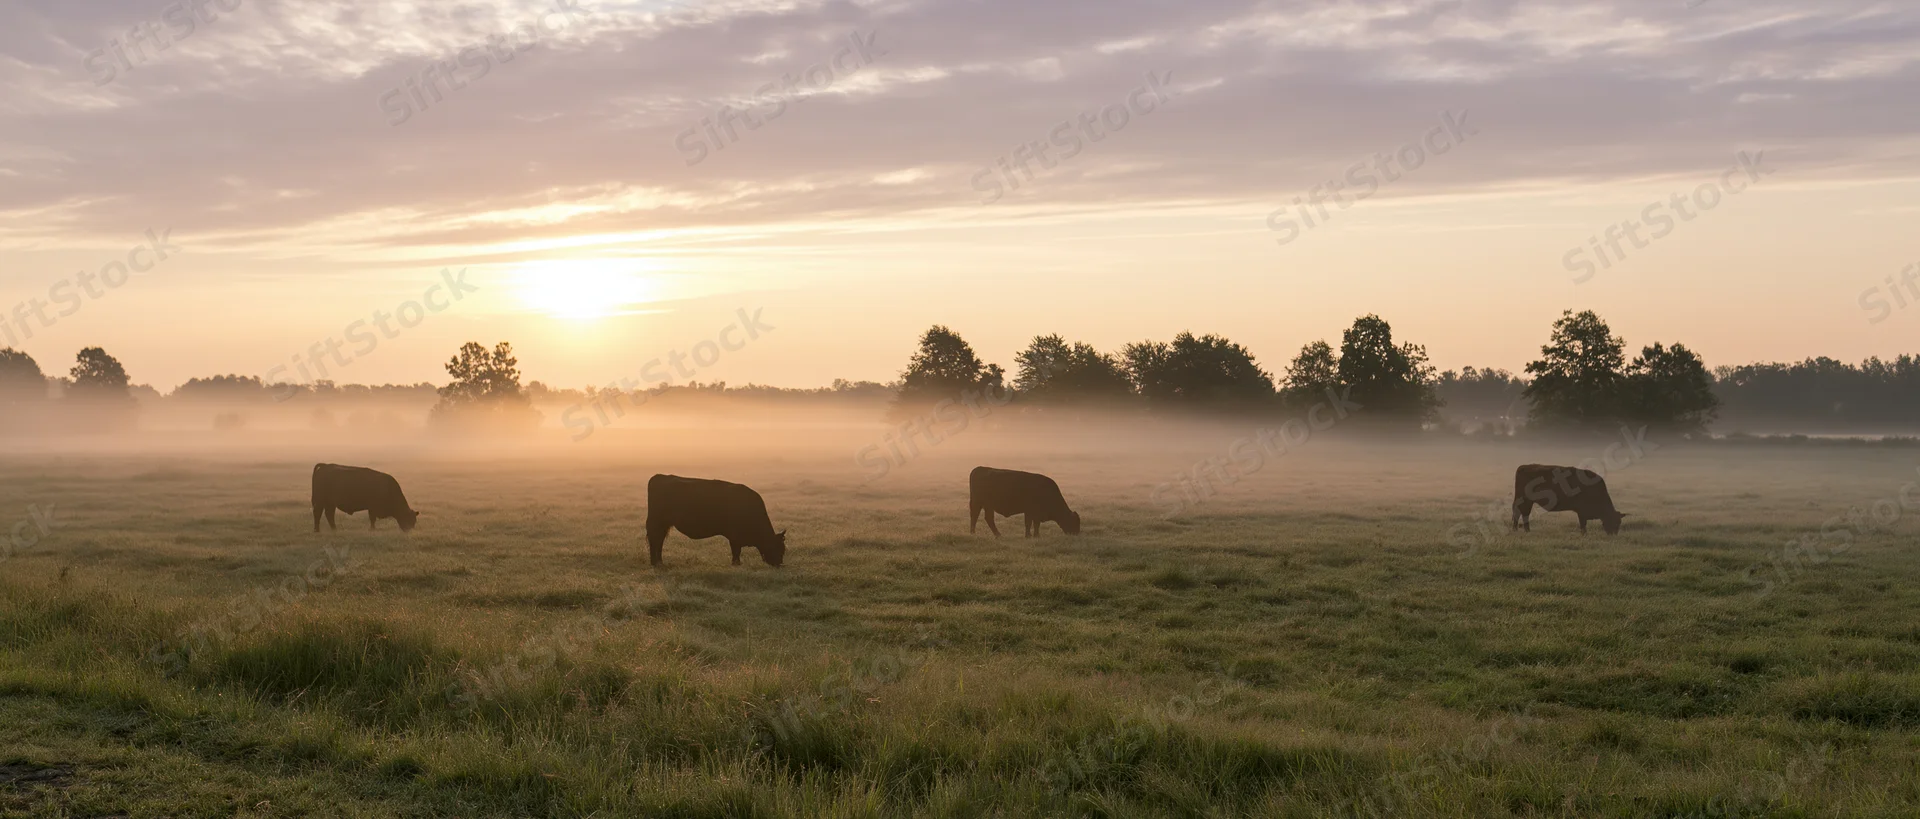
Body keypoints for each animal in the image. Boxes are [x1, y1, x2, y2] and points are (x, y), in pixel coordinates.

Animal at [645, 474, 786, 567]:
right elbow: (736, 552)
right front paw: (736, 564)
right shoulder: (735, 537)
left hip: (663, 525)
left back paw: (659, 562)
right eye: (778, 548)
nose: (779, 564)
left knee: (659, 541)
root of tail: (660, 476)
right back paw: (655, 563)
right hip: (656, 522)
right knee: (655, 541)